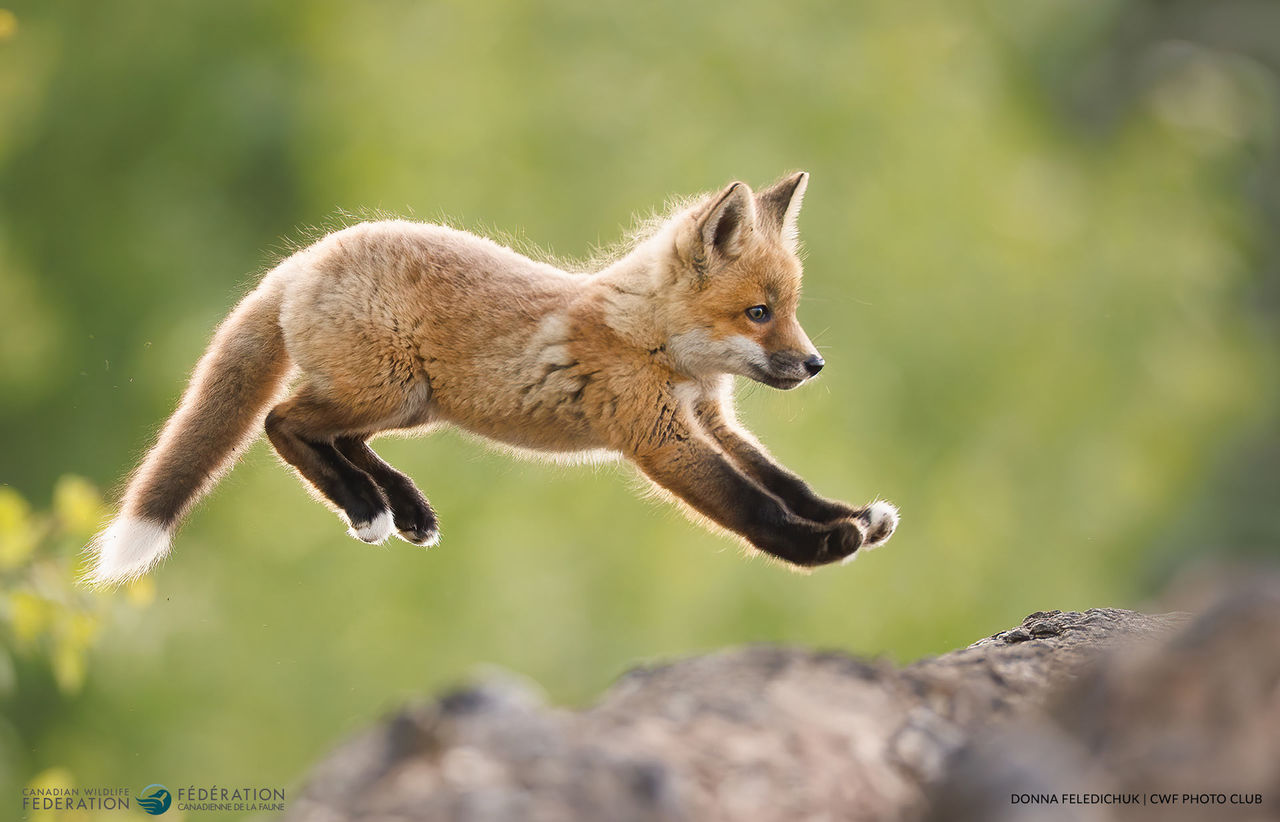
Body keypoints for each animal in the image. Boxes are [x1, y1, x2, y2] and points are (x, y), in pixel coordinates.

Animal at [85, 172, 899, 586]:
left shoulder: (713, 419)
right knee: (280, 423)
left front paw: (851, 515)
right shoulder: (661, 436)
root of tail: (305, 257)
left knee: (334, 436)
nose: (814, 364)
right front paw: (821, 548)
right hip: (386, 391)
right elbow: (750, 505)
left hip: (408, 405)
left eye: (789, 310)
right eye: (759, 312)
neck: (656, 345)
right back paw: (368, 507)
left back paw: (400, 505)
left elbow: (785, 481)